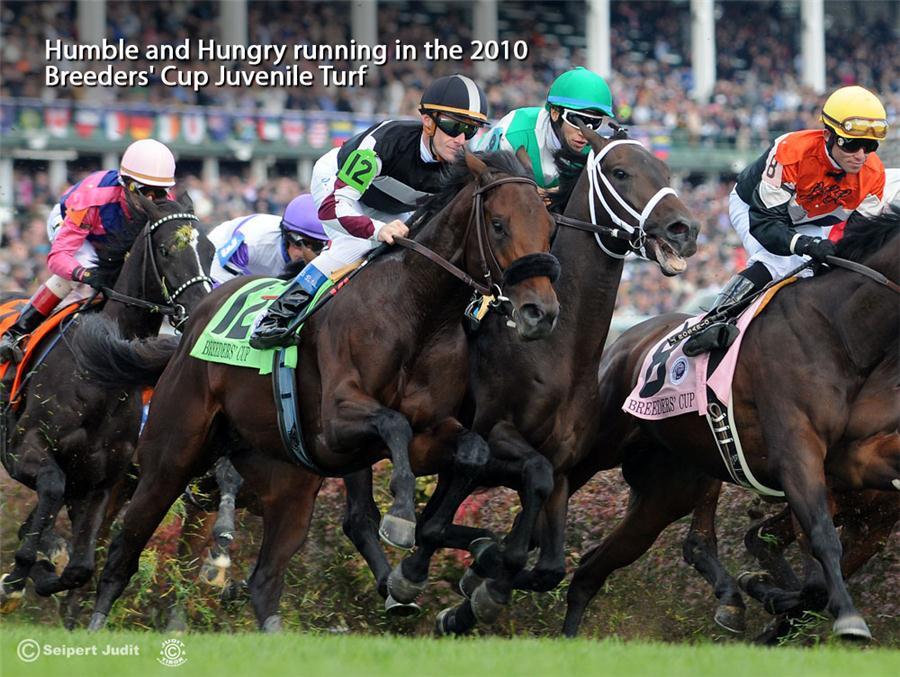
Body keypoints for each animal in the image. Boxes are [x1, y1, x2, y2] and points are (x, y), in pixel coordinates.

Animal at [0, 190, 213, 612]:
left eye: (210, 250)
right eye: (166, 249)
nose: (202, 308)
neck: (101, 369)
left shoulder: (98, 480)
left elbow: (81, 566)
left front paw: (44, 571)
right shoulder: (24, 449)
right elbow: (51, 487)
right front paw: (15, 579)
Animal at [84, 151, 564, 632]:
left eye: (548, 225)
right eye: (499, 224)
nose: (540, 313)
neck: (417, 313)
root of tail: (192, 322)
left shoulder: (432, 432)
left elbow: (477, 454)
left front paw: (443, 565)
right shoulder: (335, 423)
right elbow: (394, 425)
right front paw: (403, 521)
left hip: (287, 483)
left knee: (264, 580)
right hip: (170, 457)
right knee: (124, 548)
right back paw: (95, 620)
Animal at [560, 210, 896, 640]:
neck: (838, 331)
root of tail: (625, 340)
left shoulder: (861, 482)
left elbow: (811, 568)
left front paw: (776, 597)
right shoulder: (798, 453)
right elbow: (817, 540)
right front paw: (840, 615)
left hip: (668, 489)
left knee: (595, 566)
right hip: (599, 446)